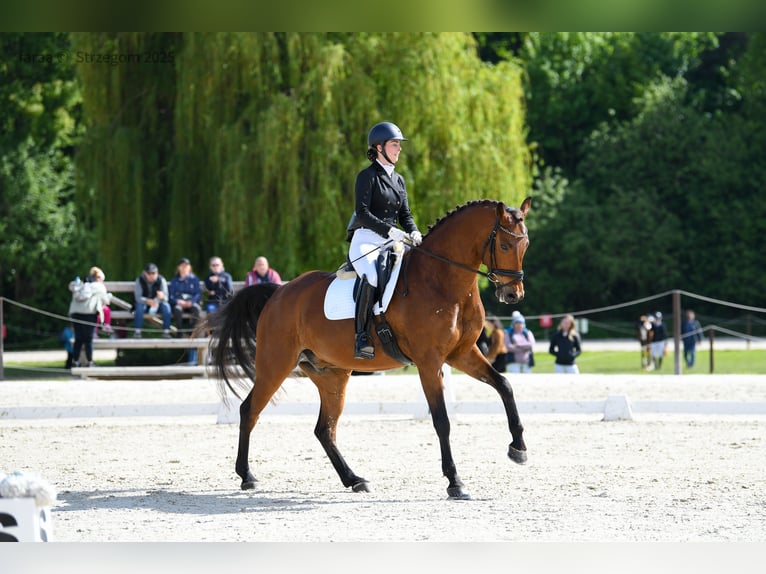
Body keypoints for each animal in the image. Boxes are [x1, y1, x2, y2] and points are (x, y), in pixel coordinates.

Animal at [206, 198, 532, 500]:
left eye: (525, 244)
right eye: (504, 245)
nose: (513, 295)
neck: (444, 282)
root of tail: (278, 293)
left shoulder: (462, 354)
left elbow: (504, 385)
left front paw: (518, 448)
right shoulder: (430, 362)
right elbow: (442, 420)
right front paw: (455, 482)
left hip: (332, 375)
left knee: (324, 429)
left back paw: (354, 479)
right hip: (275, 365)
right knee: (250, 410)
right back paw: (247, 476)